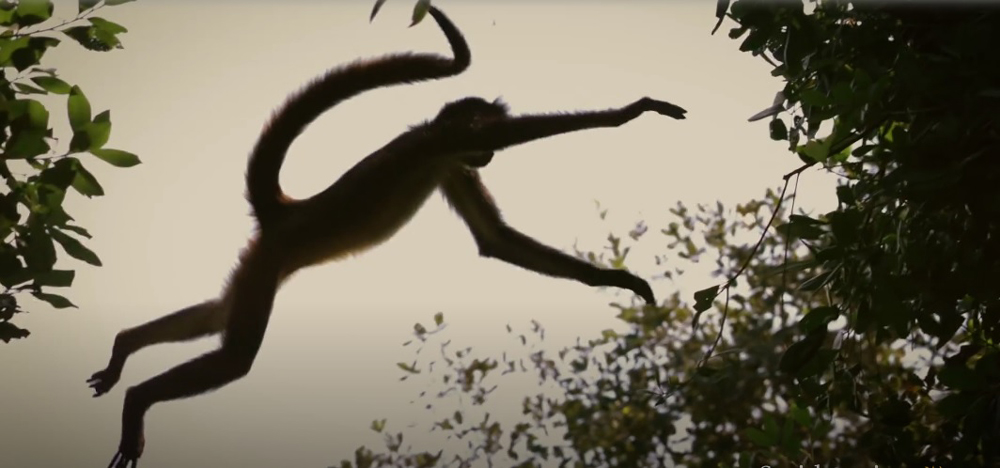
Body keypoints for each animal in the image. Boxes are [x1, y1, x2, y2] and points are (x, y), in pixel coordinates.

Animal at [94, 7, 688, 468]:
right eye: (485, 144)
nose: (487, 157)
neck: (432, 136)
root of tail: (287, 212)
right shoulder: (438, 147)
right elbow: (516, 148)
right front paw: (628, 112)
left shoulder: (451, 164)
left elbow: (494, 240)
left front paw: (615, 279)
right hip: (271, 261)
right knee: (235, 353)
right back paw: (139, 398)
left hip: (259, 263)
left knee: (218, 313)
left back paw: (124, 347)